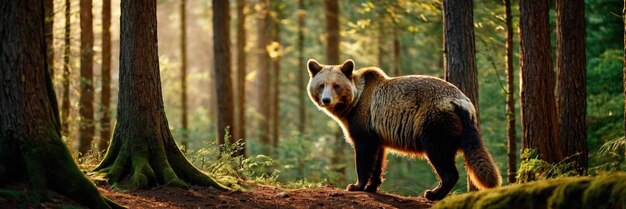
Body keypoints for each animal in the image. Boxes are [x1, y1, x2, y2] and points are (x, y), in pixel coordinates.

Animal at [304, 58, 500, 201]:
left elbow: (364, 153)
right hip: (467, 127)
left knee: (440, 156)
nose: (326, 100)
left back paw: (433, 193)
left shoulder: (363, 121)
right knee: (476, 154)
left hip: (434, 123)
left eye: (336, 85)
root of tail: (462, 102)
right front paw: (372, 185)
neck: (353, 103)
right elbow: (379, 158)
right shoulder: (377, 130)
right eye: (321, 85)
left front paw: (355, 185)